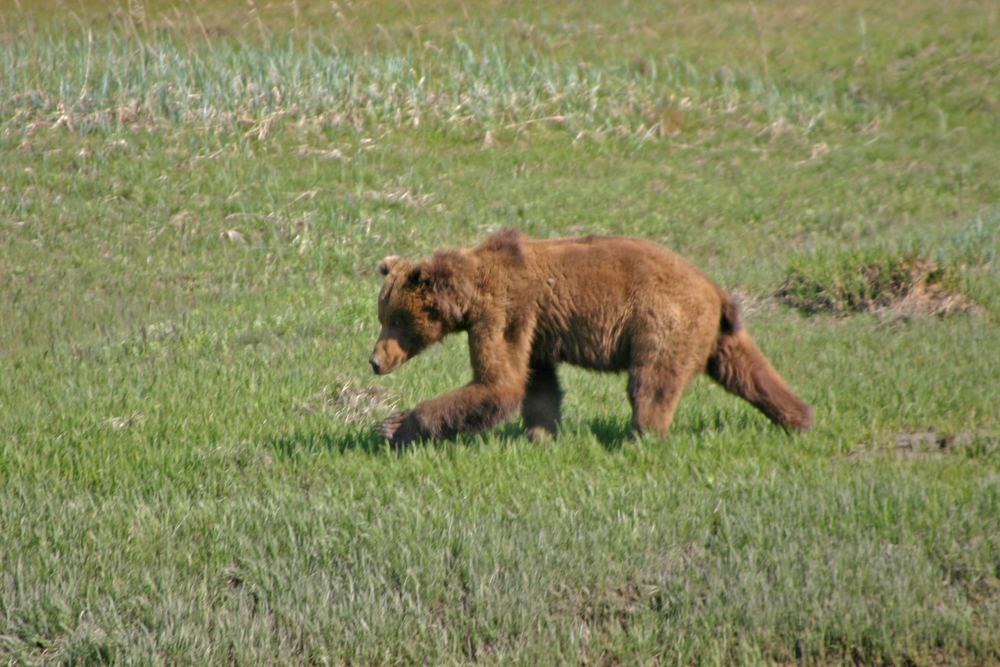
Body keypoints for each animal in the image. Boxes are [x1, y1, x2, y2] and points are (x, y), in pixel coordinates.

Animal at [370, 228, 812, 444]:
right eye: (383, 316)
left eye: (395, 321)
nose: (375, 360)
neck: (469, 294)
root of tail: (713, 288)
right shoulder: (536, 330)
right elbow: (538, 384)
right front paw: (539, 435)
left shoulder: (504, 312)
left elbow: (499, 383)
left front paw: (395, 426)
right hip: (719, 334)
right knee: (749, 372)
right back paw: (798, 418)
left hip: (664, 321)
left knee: (651, 384)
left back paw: (641, 437)